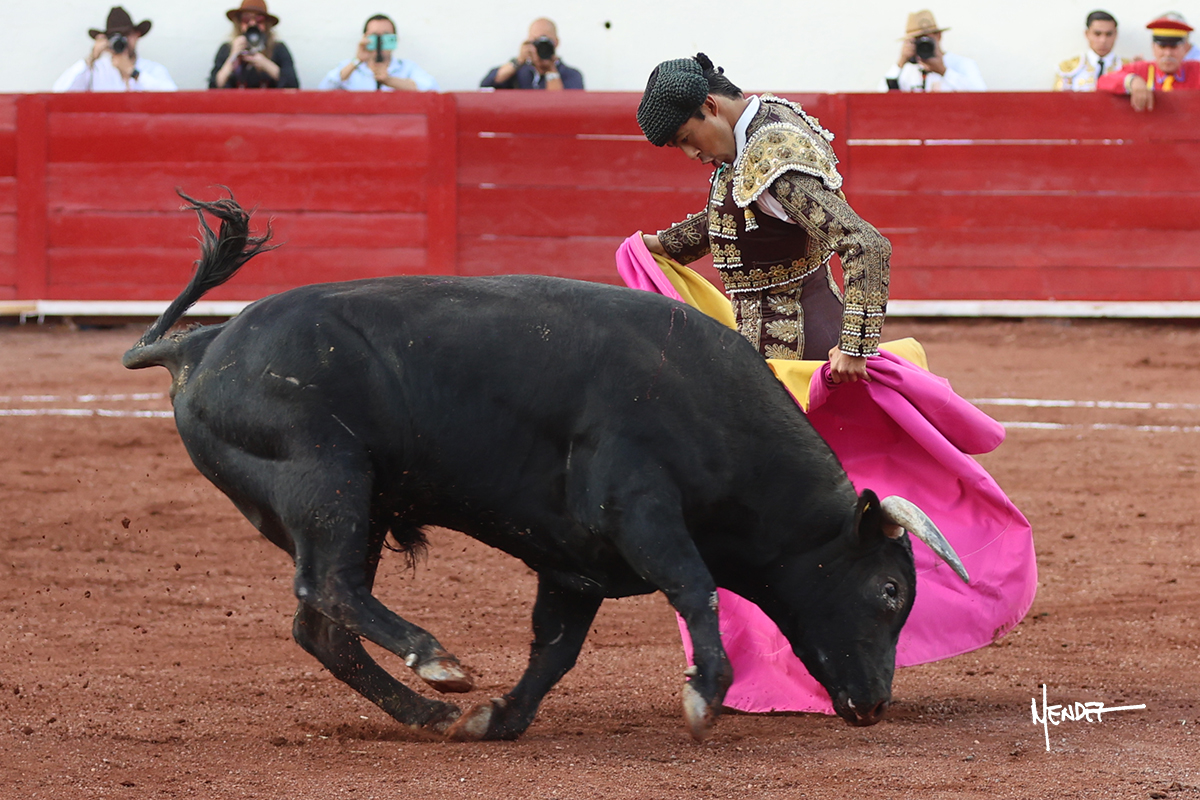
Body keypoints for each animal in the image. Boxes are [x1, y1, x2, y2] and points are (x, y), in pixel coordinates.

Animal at [124, 191, 967, 742]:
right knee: (326, 587)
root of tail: (200, 347)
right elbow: (694, 587)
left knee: (322, 625)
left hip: (356, 510)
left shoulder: (576, 563)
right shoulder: (637, 510)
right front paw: (704, 697)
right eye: (891, 592)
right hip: (327, 482)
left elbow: (555, 650)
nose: (875, 704)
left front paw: (500, 718)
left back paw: (436, 713)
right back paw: (439, 664)